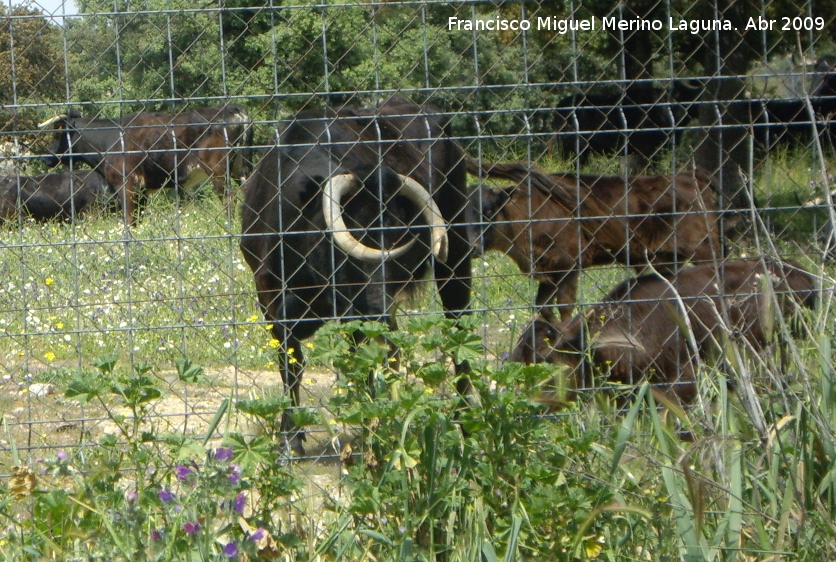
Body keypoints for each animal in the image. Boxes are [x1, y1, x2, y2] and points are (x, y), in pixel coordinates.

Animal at [37, 105, 251, 223]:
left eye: (57, 133)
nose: (46, 158)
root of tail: (233, 108)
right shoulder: (143, 191)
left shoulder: (127, 185)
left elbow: (129, 220)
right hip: (242, 168)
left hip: (219, 170)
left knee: (229, 198)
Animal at [238, 98, 474, 452]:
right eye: (356, 232)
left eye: (402, 235)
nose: (379, 309)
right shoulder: (269, 295)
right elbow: (291, 364)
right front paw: (290, 439)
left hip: (455, 258)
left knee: (457, 327)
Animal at [466, 160, 720, 322]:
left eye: (489, 211)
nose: (472, 247)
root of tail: (689, 176)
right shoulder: (550, 272)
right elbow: (543, 307)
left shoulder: (568, 266)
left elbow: (564, 306)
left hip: (704, 250)